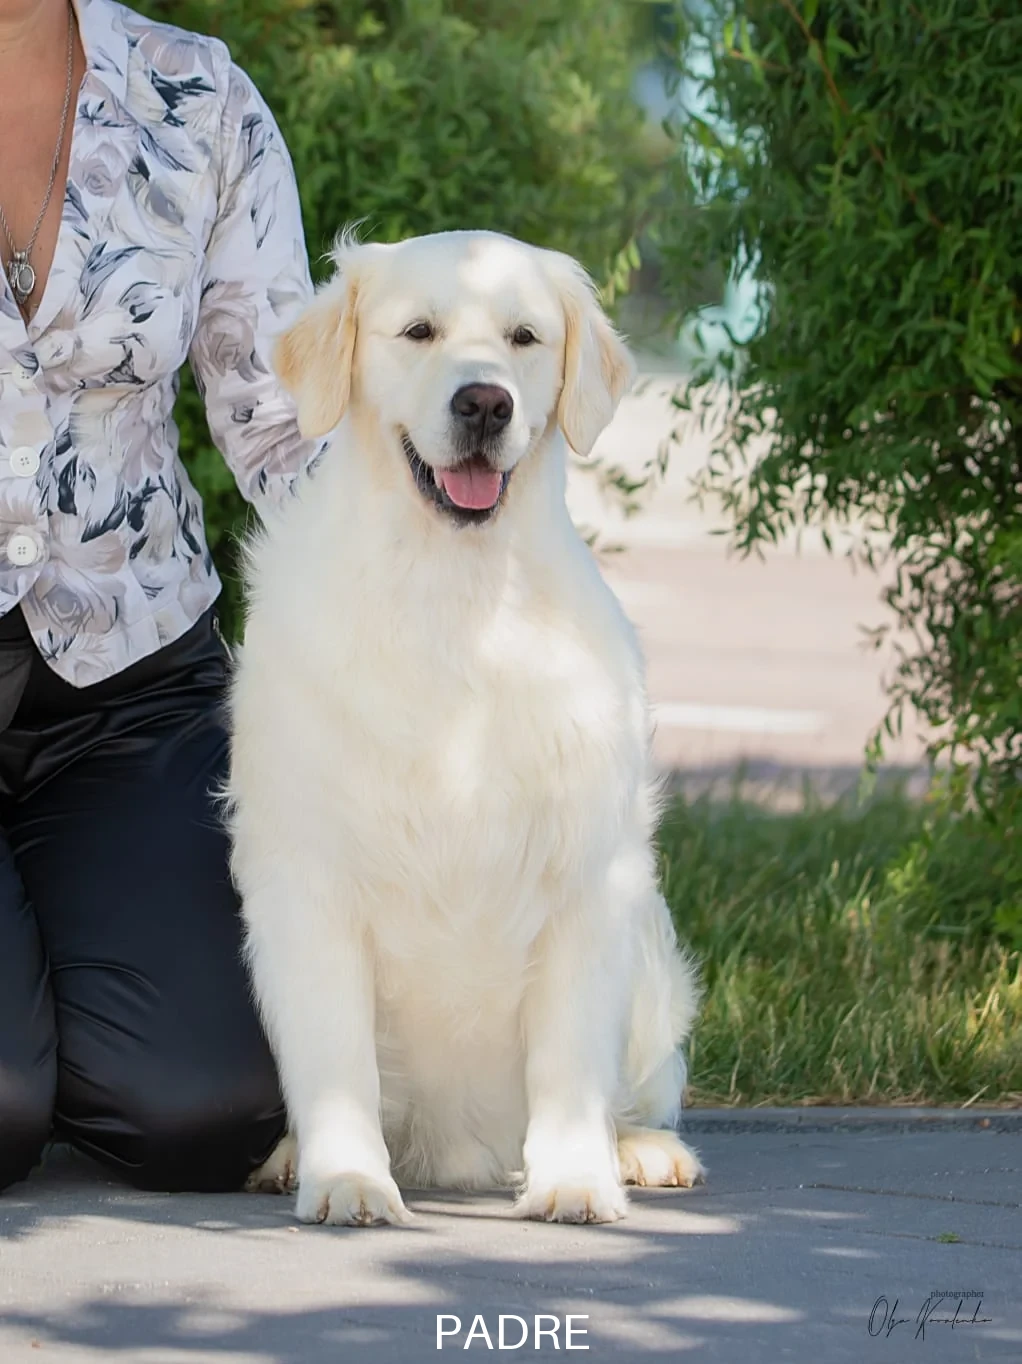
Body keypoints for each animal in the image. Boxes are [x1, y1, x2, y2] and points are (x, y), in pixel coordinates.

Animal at [227, 229, 703, 1226]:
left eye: (525, 337)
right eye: (418, 332)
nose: (485, 401)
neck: (454, 598)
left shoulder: (588, 877)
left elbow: (570, 1063)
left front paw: (574, 1180)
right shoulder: (307, 876)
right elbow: (336, 1058)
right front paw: (349, 1180)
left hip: (651, 953)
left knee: (641, 1088)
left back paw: (642, 1150)